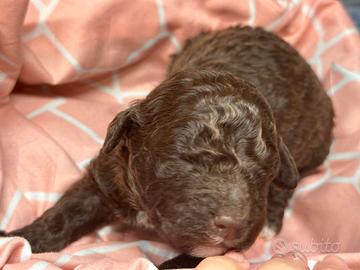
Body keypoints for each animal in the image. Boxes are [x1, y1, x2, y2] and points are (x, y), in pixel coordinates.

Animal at [1, 26, 334, 260]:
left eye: (263, 173)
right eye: (184, 160)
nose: (235, 225)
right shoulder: (108, 174)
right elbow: (65, 214)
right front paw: (18, 239)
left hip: (313, 141)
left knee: (289, 184)